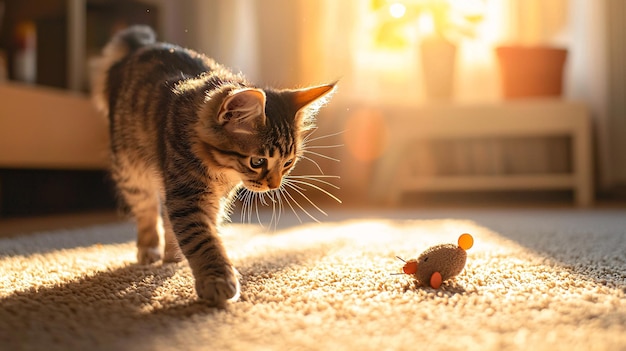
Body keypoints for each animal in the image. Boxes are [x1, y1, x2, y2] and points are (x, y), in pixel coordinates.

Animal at [90, 26, 334, 306]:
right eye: (257, 161)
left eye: (288, 163)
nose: (273, 185)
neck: (222, 172)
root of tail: (142, 46)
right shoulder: (187, 195)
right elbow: (202, 239)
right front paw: (218, 280)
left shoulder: (209, 199)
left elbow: (201, 232)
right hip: (132, 172)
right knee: (147, 212)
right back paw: (149, 249)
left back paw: (171, 254)